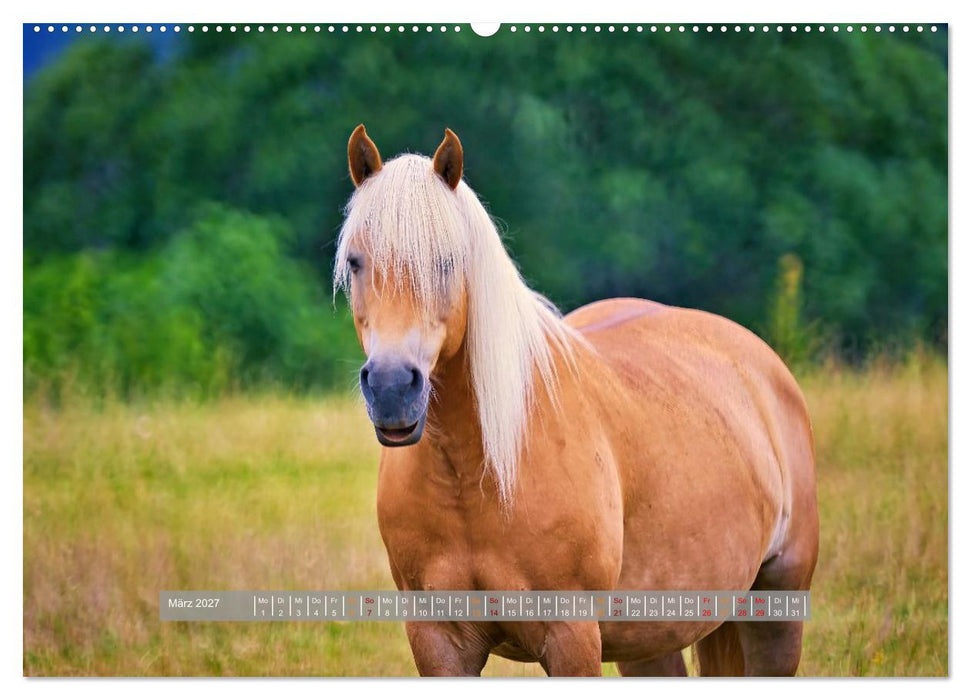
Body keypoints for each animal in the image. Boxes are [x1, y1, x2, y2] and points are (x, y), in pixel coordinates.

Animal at [334, 124, 819, 676]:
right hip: (652, 640)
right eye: (355, 262)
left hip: (777, 611)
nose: (392, 387)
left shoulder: (572, 638)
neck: (478, 473)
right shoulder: (438, 642)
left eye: (448, 261)